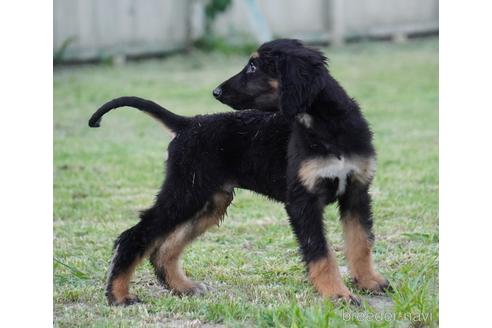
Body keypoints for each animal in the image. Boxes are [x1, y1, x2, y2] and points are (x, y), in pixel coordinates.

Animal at [88, 39, 388, 306]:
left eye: (253, 66)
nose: (216, 92)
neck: (328, 127)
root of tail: (188, 124)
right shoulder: (303, 201)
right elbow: (321, 252)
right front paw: (337, 294)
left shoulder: (357, 192)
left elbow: (361, 243)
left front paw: (369, 282)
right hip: (185, 192)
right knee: (134, 236)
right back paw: (119, 295)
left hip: (209, 200)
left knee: (164, 248)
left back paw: (181, 286)